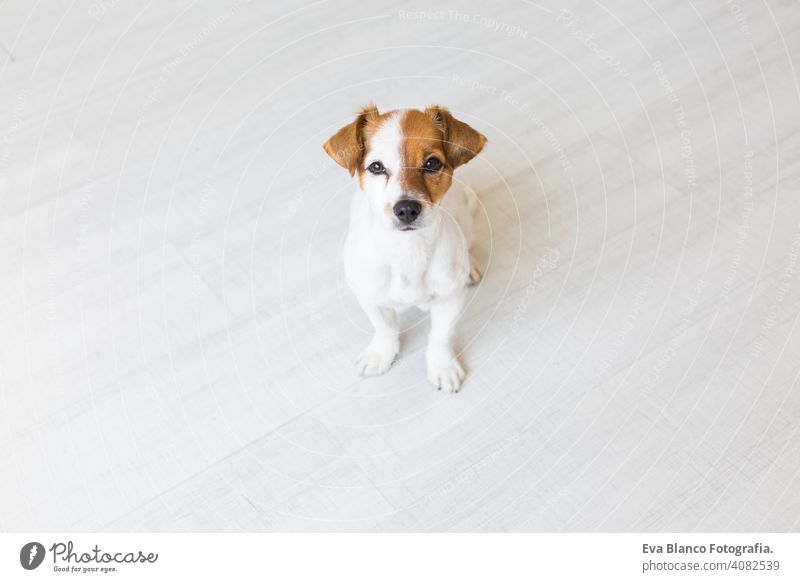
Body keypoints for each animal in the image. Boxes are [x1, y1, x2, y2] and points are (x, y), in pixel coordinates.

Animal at [320, 104, 484, 392]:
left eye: (432, 163)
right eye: (376, 167)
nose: (406, 209)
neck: (408, 251)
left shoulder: (450, 300)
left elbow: (441, 336)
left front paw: (442, 365)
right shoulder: (370, 297)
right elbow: (385, 328)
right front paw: (381, 354)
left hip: (466, 215)